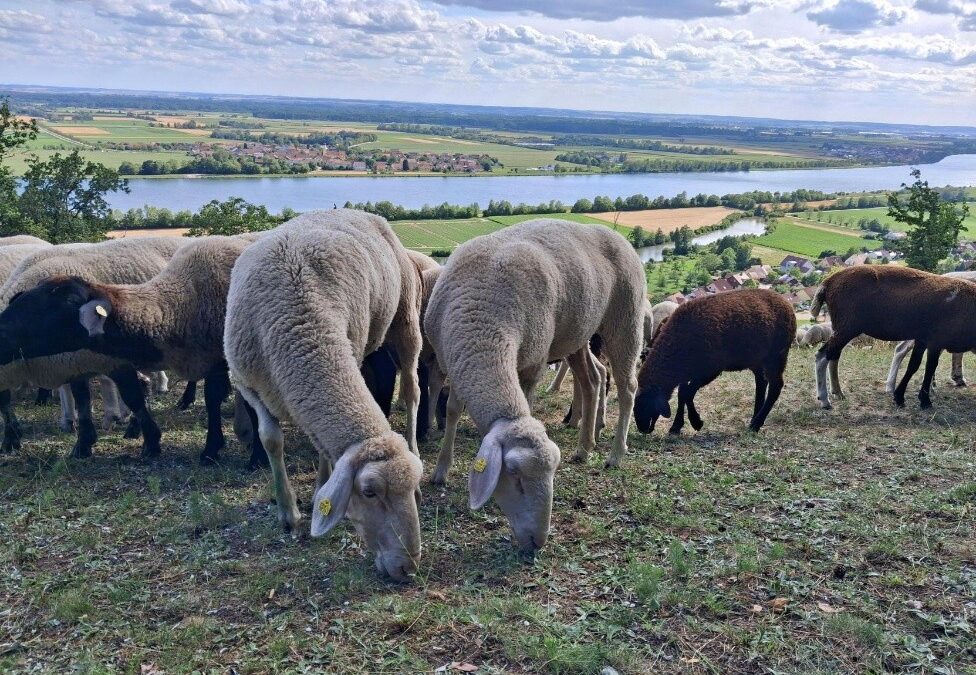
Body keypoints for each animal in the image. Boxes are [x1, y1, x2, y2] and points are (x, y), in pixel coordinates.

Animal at [224, 210, 424, 582]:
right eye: (369, 492)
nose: (408, 567)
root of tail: (358, 211)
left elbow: (321, 449)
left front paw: (318, 489)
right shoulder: (247, 382)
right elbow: (270, 438)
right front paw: (287, 514)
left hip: (404, 318)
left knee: (412, 390)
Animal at [424, 219, 646, 553]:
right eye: (514, 475)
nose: (538, 541)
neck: (480, 324)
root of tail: (617, 236)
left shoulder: (532, 363)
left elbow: (526, 402)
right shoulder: (455, 360)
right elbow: (451, 410)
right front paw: (441, 470)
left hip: (626, 319)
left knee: (627, 386)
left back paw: (616, 454)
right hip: (576, 333)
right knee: (593, 379)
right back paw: (584, 447)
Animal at [634, 289, 795, 435]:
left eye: (645, 402)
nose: (642, 429)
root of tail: (786, 303)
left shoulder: (710, 369)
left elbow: (686, 393)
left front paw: (696, 422)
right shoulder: (687, 372)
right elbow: (682, 395)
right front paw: (676, 426)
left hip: (776, 355)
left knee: (775, 386)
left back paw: (756, 423)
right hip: (757, 359)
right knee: (761, 383)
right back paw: (754, 419)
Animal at [810, 265, 976, 410]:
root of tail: (827, 283)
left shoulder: (922, 338)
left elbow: (913, 365)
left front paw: (900, 397)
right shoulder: (935, 340)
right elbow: (929, 367)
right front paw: (925, 401)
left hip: (841, 328)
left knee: (833, 356)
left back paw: (837, 392)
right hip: (847, 327)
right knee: (822, 356)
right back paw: (824, 400)